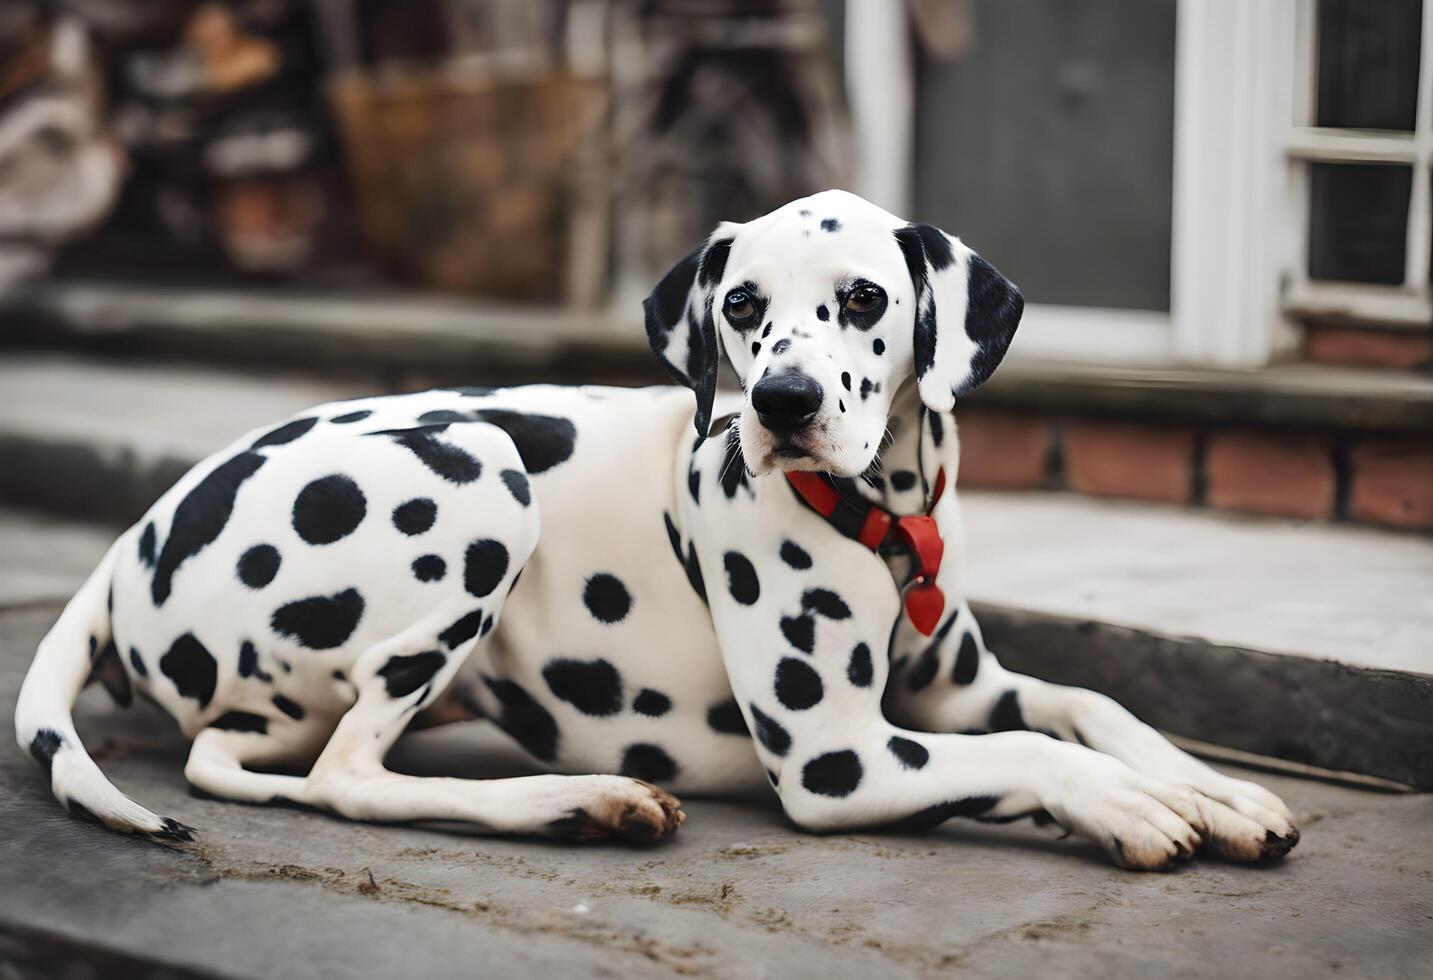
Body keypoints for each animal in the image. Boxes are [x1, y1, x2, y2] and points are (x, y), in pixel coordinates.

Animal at [16, 193, 1306, 871]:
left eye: (864, 297)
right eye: (741, 304)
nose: (781, 400)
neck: (879, 519)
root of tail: (132, 540)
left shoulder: (960, 693)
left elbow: (1090, 704)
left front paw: (1218, 789)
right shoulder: (839, 755)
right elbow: (1039, 753)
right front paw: (1139, 805)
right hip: (479, 478)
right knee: (338, 775)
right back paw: (577, 799)